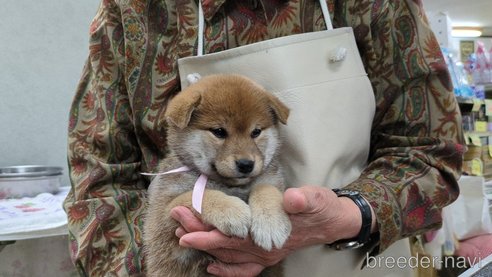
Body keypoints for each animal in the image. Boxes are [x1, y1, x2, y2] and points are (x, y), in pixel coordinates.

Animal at [145, 74, 292, 276]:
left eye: (256, 132)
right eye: (219, 132)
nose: (246, 164)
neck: (231, 186)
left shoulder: (271, 180)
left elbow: (266, 188)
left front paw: (270, 223)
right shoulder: (166, 212)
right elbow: (200, 196)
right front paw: (232, 211)